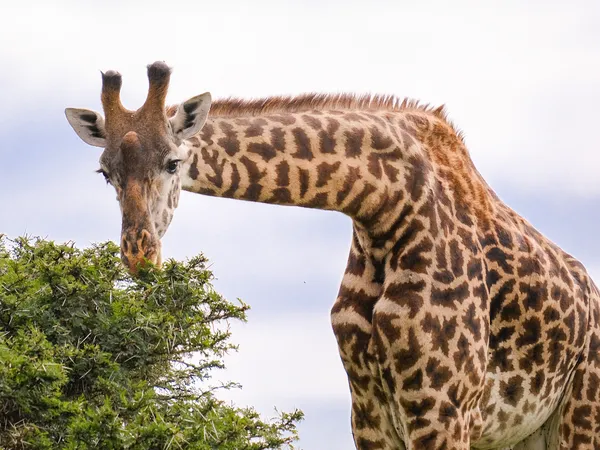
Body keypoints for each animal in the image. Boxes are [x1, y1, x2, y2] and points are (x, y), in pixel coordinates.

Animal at [65, 61, 600, 448]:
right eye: (105, 173)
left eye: (174, 162)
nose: (140, 255)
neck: (386, 208)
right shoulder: (367, 409)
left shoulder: (443, 407)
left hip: (580, 416)